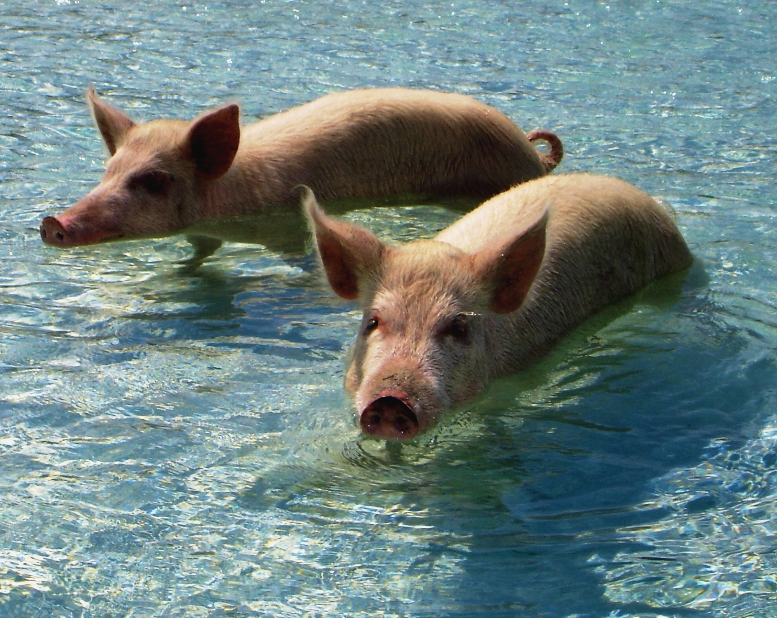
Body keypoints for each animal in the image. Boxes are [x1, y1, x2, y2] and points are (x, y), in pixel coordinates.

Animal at [40, 88, 563, 259]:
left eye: (153, 180)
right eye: (108, 172)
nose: (51, 222)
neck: (233, 190)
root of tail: (534, 156)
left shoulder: (282, 222)